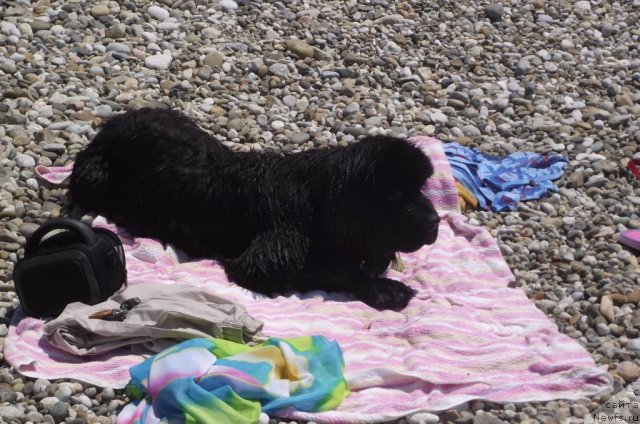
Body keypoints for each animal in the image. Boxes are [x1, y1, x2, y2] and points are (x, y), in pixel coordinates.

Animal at [70, 107, 440, 310]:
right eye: (396, 194)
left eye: (421, 187)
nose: (436, 221)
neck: (316, 201)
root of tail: (111, 125)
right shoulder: (266, 261)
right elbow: (334, 270)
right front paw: (387, 289)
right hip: (95, 175)